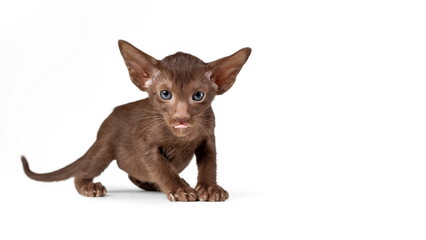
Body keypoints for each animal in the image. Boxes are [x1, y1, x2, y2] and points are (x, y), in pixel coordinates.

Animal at [20, 40, 250, 202]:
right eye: (165, 94)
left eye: (198, 96)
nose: (181, 117)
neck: (179, 137)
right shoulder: (144, 142)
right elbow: (162, 167)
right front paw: (179, 189)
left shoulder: (208, 138)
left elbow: (209, 165)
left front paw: (209, 188)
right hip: (105, 146)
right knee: (83, 172)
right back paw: (89, 186)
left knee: (136, 176)